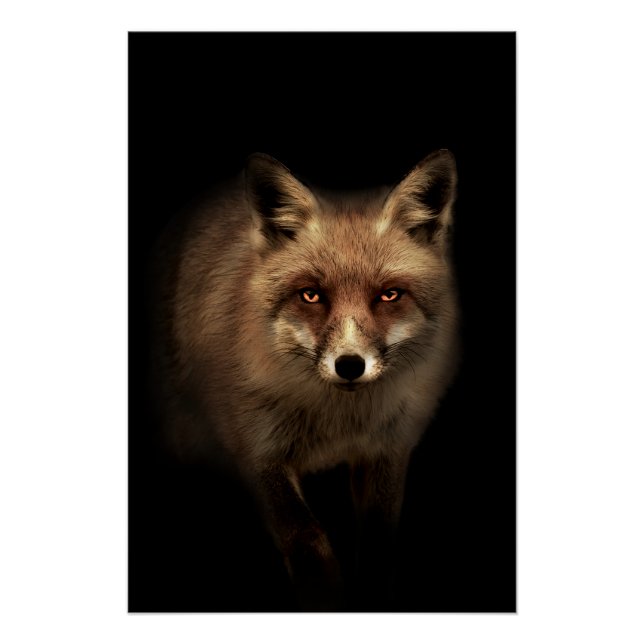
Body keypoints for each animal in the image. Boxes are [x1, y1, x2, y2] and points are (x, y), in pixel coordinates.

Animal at [150, 150, 460, 611]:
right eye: (311, 295)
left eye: (389, 295)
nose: (349, 365)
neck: (337, 423)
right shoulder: (255, 450)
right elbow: (309, 545)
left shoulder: (389, 447)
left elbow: (376, 547)